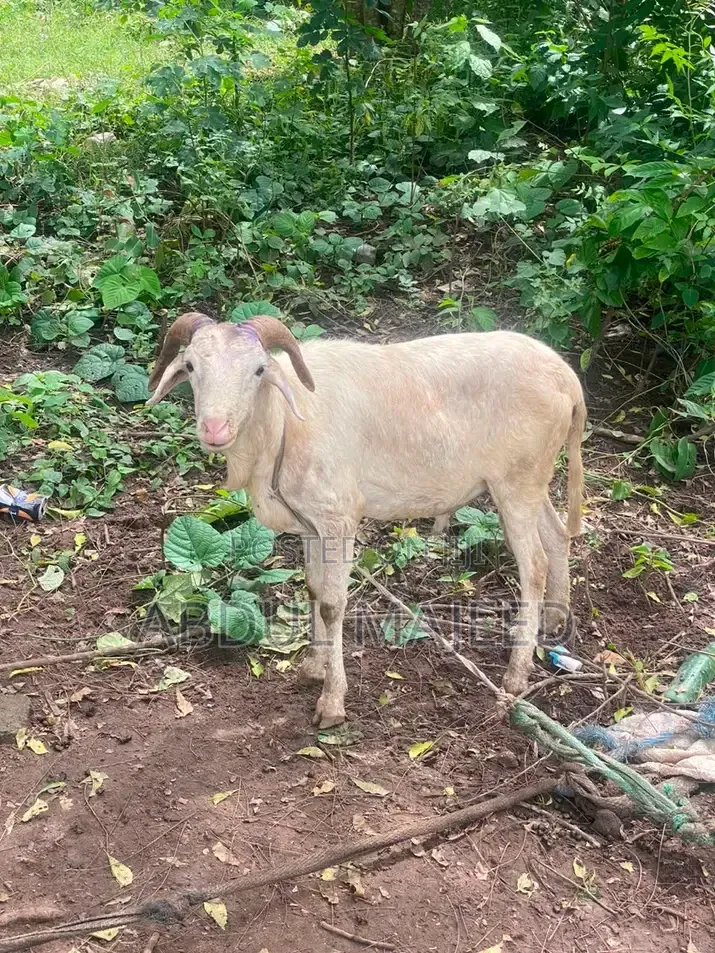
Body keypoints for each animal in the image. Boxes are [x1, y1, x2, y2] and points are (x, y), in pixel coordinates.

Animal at [147, 312, 586, 727]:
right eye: (190, 366)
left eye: (258, 370)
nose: (215, 429)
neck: (286, 421)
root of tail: (568, 379)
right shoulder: (311, 524)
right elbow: (312, 590)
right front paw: (312, 667)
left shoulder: (339, 519)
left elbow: (332, 605)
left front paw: (332, 702)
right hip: (530, 482)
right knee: (556, 535)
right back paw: (554, 618)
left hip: (517, 480)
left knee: (534, 565)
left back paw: (516, 675)